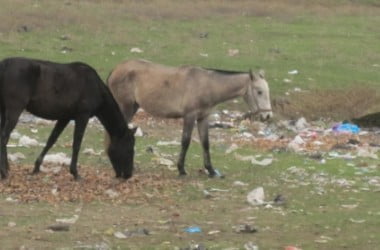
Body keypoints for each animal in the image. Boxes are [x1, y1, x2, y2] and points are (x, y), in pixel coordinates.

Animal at [0, 57, 136, 180]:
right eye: (129, 149)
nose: (128, 175)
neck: (96, 87)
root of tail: (4, 65)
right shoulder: (82, 116)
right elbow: (77, 144)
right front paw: (75, 173)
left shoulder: (64, 117)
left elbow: (51, 140)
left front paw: (36, 167)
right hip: (15, 109)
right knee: (4, 137)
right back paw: (4, 173)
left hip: (3, 110)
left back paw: (7, 169)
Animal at [107, 60, 274, 178]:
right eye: (259, 91)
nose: (267, 116)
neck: (207, 85)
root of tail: (115, 69)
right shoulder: (189, 116)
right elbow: (185, 141)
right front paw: (181, 169)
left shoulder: (202, 118)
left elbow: (205, 143)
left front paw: (211, 171)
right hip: (125, 108)